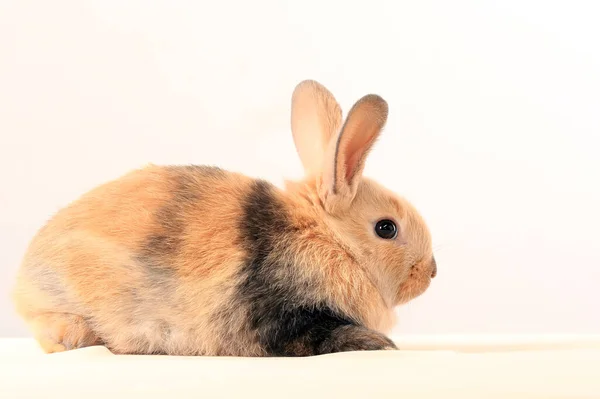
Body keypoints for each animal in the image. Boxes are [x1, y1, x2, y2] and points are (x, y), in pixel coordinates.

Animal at [11, 79, 436, 358]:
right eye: (386, 228)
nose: (431, 272)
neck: (326, 240)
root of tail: (21, 286)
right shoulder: (286, 317)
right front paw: (379, 344)